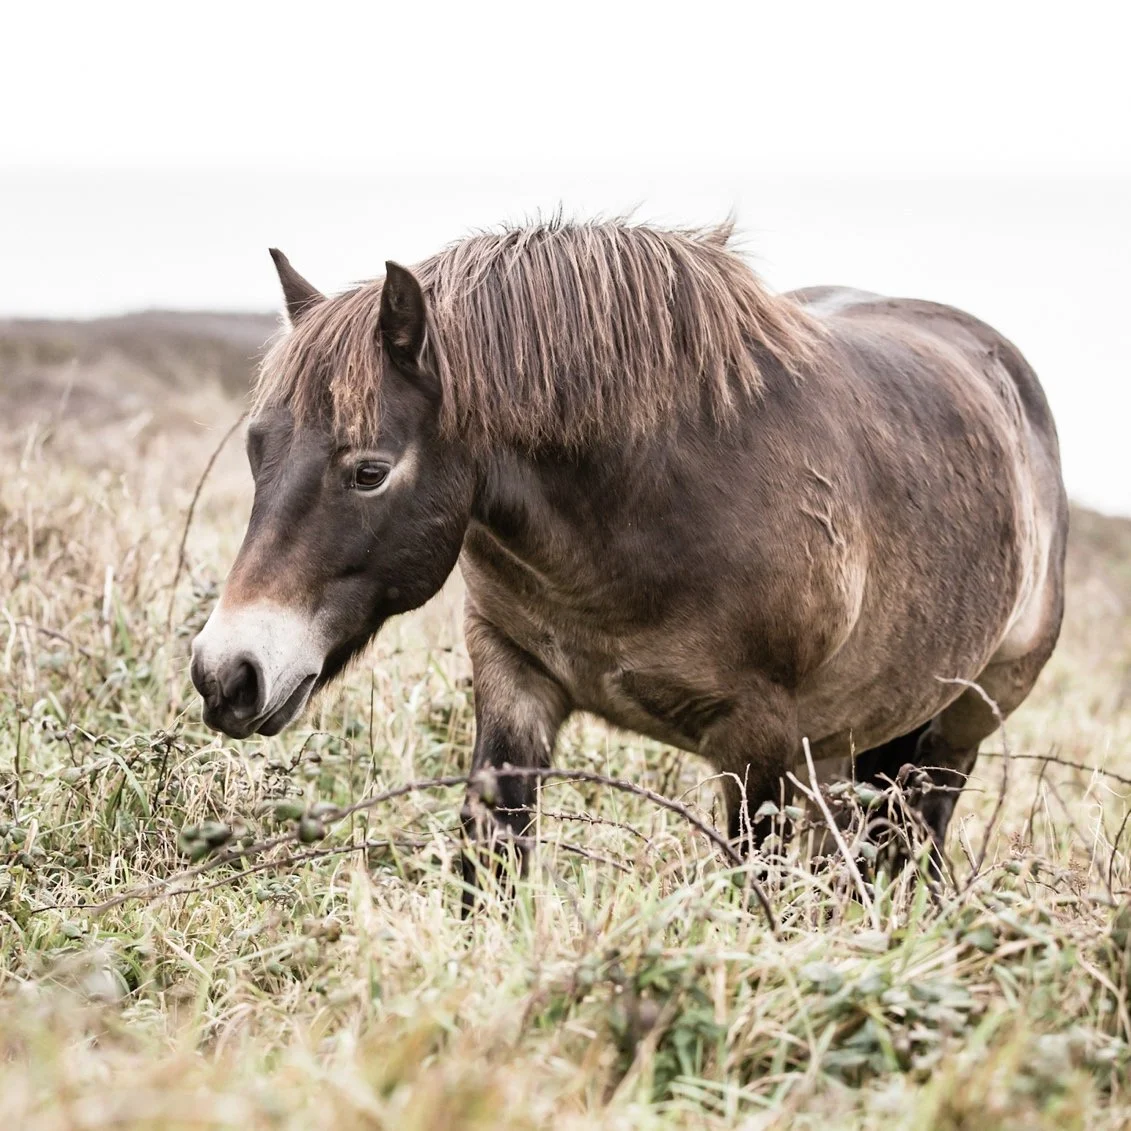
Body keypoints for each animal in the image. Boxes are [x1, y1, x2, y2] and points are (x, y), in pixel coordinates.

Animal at [190, 218, 1067, 879]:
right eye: (257, 448)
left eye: (368, 471)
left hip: (951, 735)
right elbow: (491, 866)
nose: (227, 674)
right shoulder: (512, 674)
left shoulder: (759, 742)